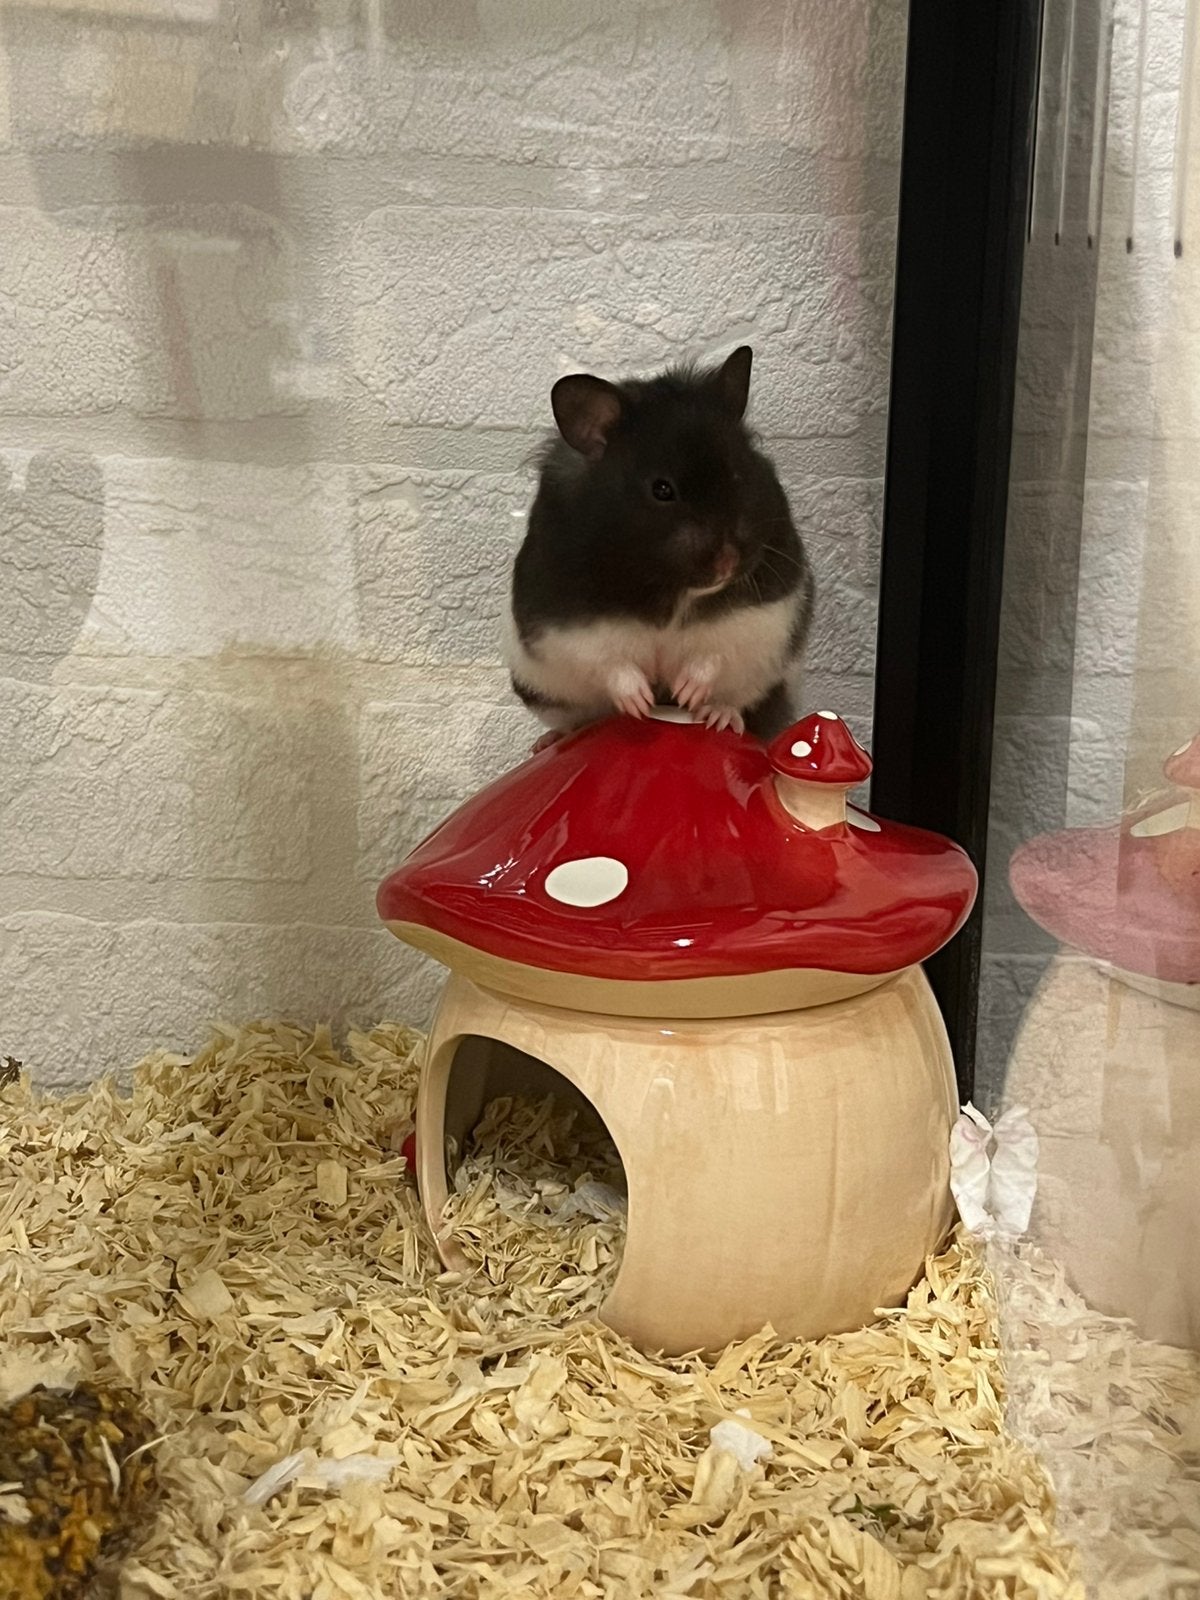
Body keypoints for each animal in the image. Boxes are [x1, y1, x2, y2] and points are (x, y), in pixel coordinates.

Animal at [505, 346, 814, 748]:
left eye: (737, 475)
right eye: (662, 489)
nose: (727, 564)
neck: (671, 585)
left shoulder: (759, 614)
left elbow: (712, 655)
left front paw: (686, 694)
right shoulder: (565, 626)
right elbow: (612, 663)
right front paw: (641, 703)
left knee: (737, 700)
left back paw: (719, 717)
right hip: (541, 688)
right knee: (573, 717)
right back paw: (550, 740)